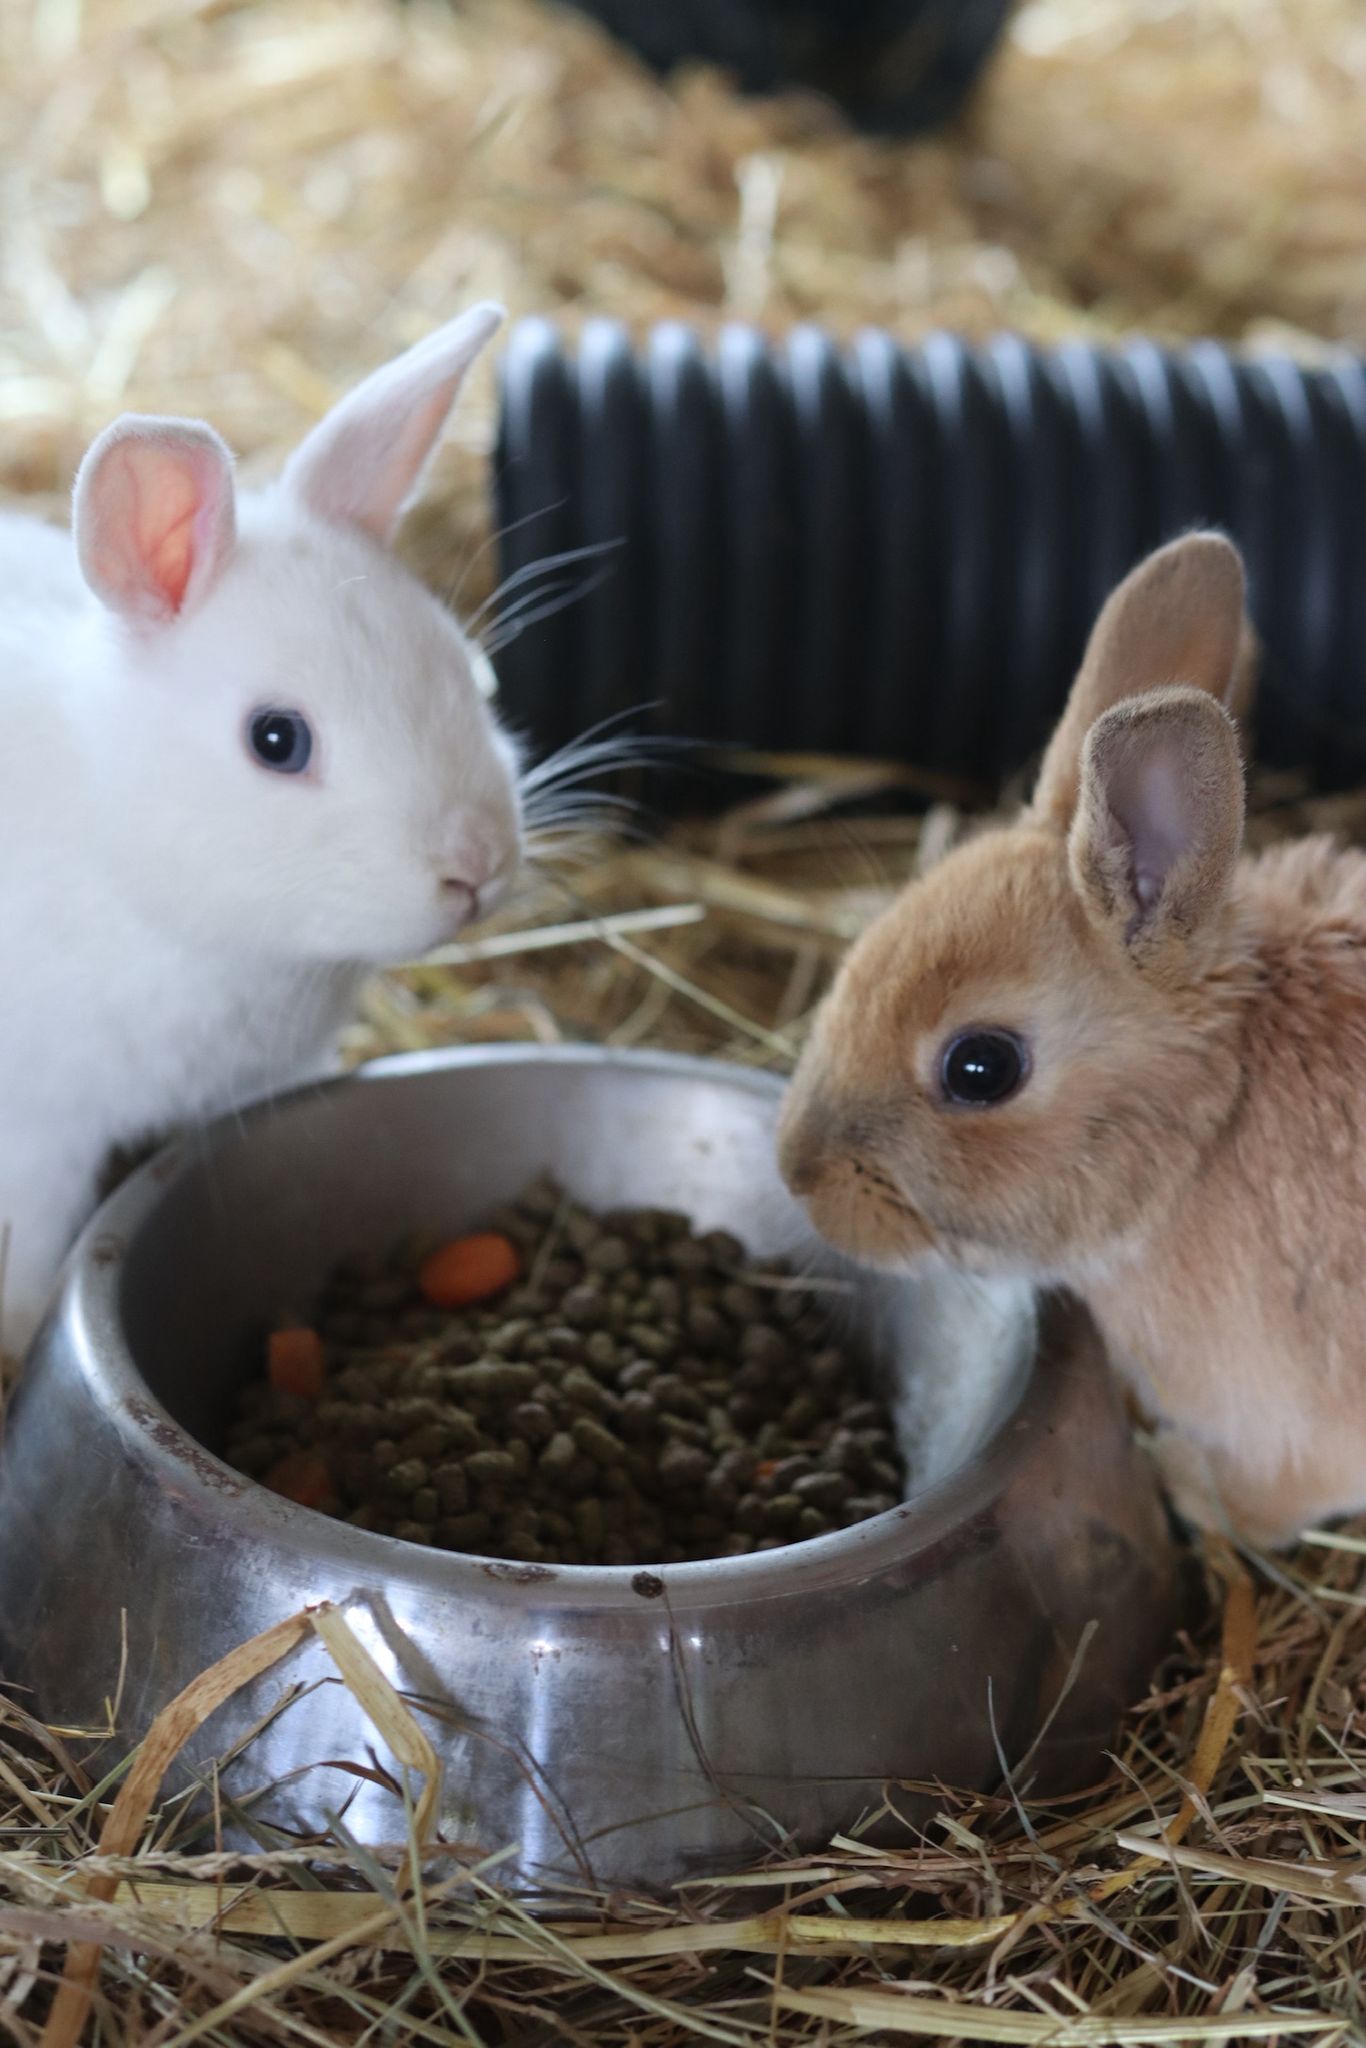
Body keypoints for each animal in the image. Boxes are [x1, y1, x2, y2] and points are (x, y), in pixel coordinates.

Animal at [0, 302, 525, 1357]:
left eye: (466, 668)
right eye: (277, 740)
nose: (475, 870)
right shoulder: (39, 1131)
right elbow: (31, 1246)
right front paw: (17, 1331)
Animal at [778, 529, 1366, 1550]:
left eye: (981, 1068)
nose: (794, 1169)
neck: (1207, 1132)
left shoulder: (1301, 1427)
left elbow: (1268, 1500)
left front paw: (1183, 1485)